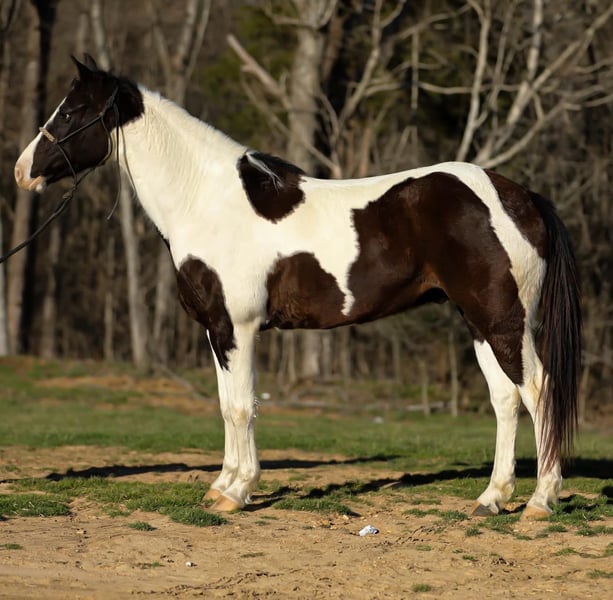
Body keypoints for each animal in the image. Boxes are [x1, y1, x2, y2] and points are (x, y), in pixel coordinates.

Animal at [14, 55, 581, 518]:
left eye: (71, 113)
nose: (23, 171)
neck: (208, 201)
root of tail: (521, 196)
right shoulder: (217, 331)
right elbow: (225, 404)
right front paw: (222, 485)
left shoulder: (238, 328)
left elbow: (241, 405)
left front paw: (236, 492)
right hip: (478, 321)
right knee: (506, 400)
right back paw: (491, 499)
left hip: (504, 320)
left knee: (538, 390)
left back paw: (540, 501)